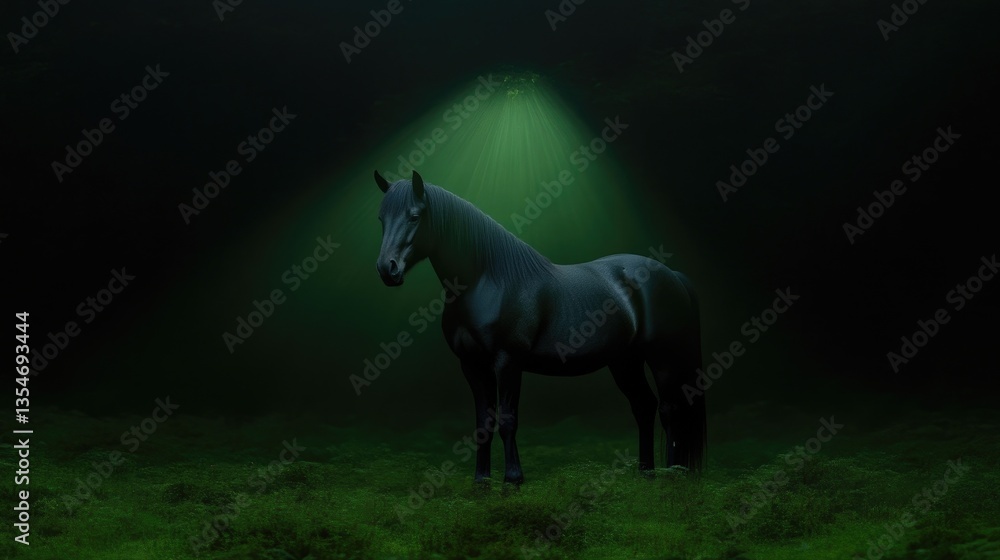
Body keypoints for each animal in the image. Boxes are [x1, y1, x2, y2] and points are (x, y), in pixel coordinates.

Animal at [373, 170, 706, 483]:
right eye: (381, 219)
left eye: (414, 216)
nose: (387, 269)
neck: (486, 281)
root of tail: (673, 275)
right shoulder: (472, 365)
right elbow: (483, 423)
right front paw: (481, 481)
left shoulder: (508, 361)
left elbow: (508, 420)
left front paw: (513, 479)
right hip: (625, 361)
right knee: (644, 407)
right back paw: (646, 473)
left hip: (663, 359)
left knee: (670, 410)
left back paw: (672, 475)